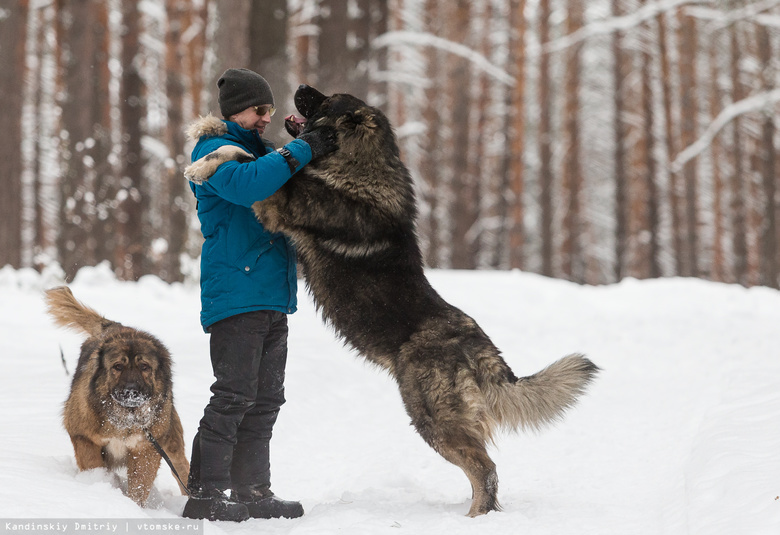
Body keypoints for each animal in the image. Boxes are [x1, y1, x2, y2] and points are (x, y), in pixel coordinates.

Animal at [46, 288, 190, 506]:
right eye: (118, 366)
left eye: (144, 366)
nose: (131, 391)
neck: (125, 417)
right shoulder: (84, 437)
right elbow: (93, 465)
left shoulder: (146, 448)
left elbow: (139, 486)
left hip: (171, 443)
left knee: (182, 469)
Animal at [184, 85, 596, 520]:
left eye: (328, 99)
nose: (300, 89)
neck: (356, 167)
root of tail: (478, 344)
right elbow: (247, 151)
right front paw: (206, 141)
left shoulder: (281, 201)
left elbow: (249, 159)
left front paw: (200, 168)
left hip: (431, 415)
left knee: (485, 468)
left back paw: (474, 518)